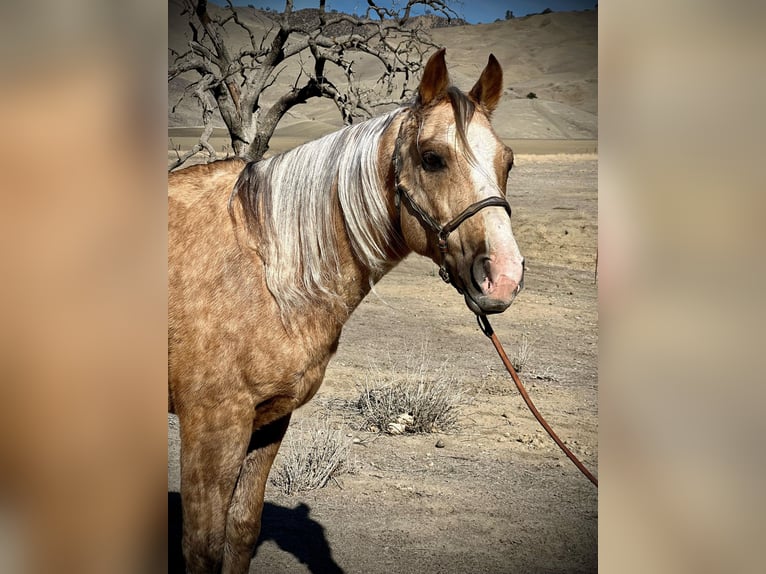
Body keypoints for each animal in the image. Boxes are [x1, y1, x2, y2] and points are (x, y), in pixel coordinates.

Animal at [169, 50, 528, 574]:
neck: (266, 266)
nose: (503, 275)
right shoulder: (211, 424)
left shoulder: (268, 419)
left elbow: (241, 530)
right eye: (432, 158)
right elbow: (202, 547)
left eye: (508, 161)